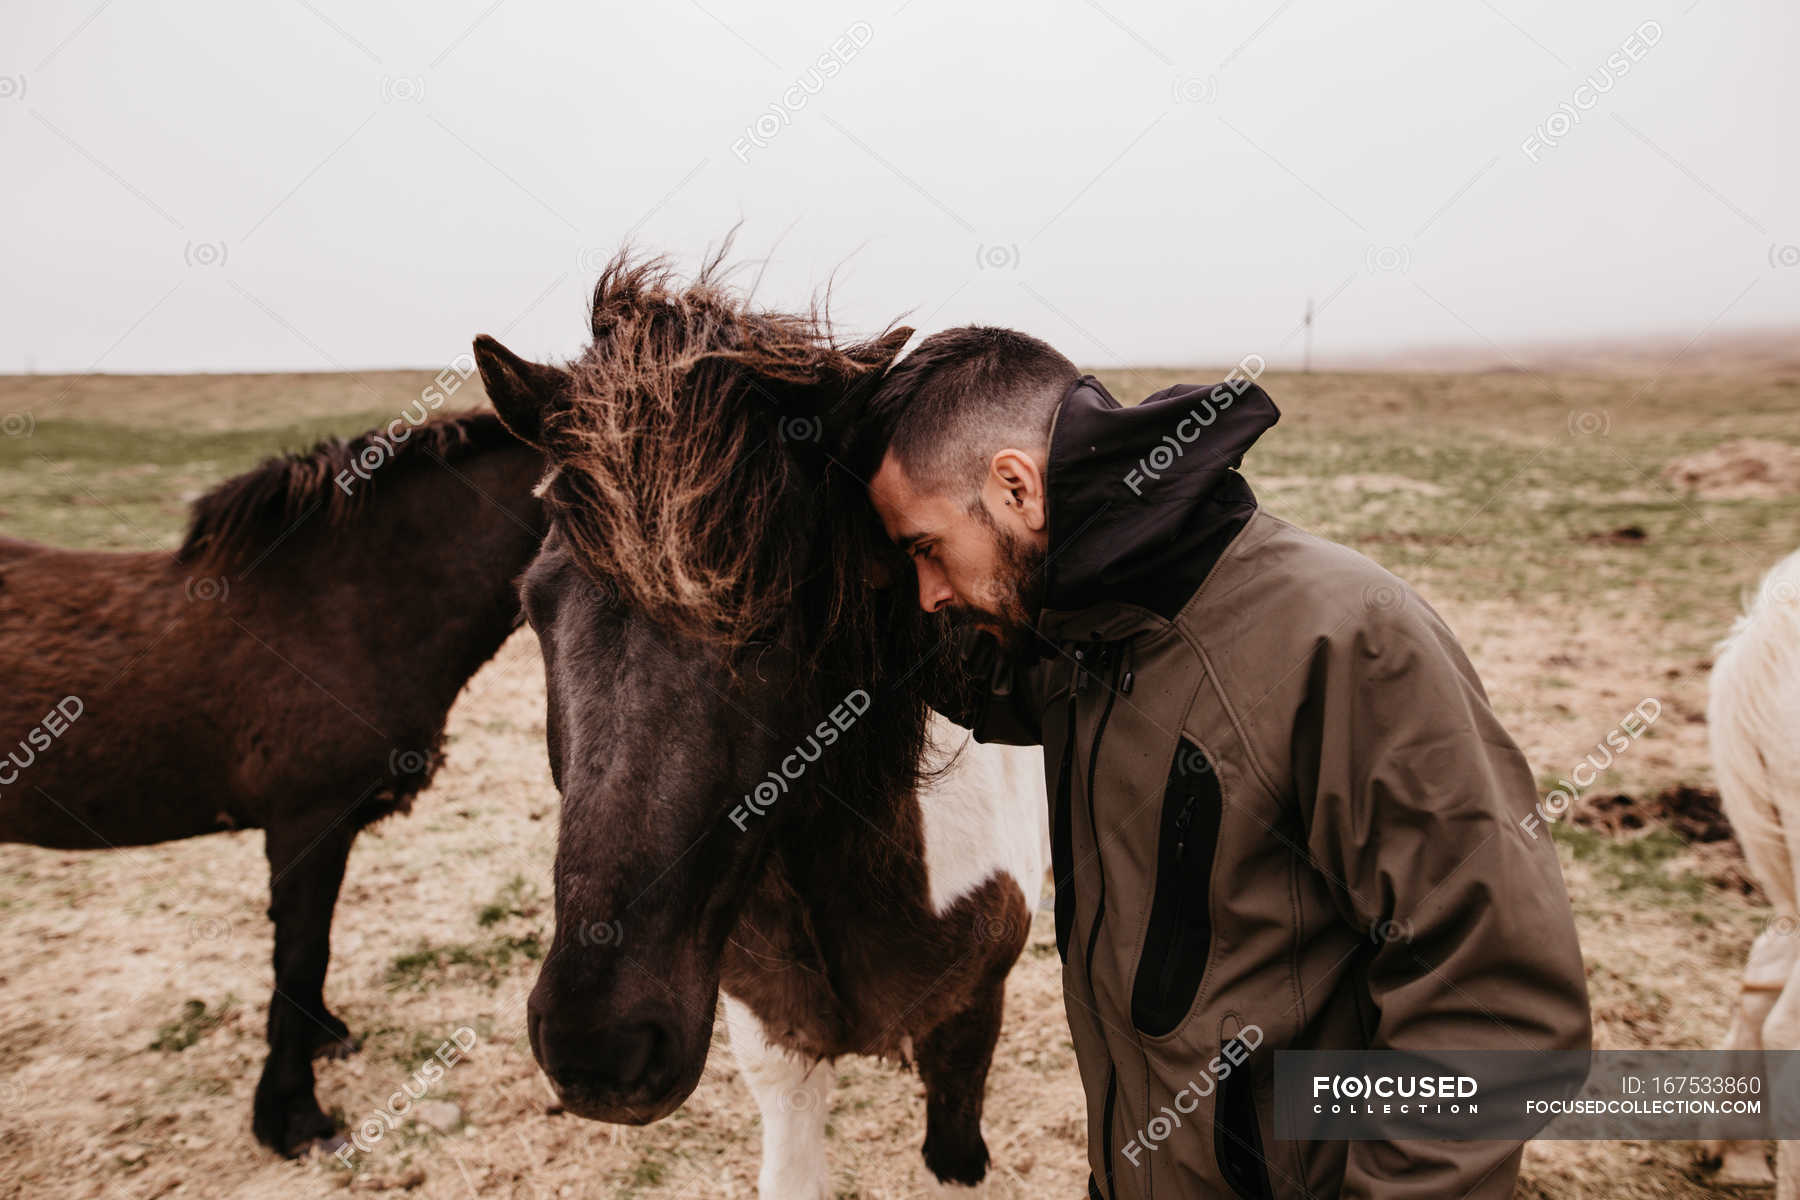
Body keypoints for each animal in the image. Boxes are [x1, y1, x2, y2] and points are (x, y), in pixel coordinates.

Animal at [1, 410, 547, 1151]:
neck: (348, 609)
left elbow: (311, 949)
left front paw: (320, 1041)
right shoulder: (304, 823)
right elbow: (302, 952)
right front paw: (293, 1115)